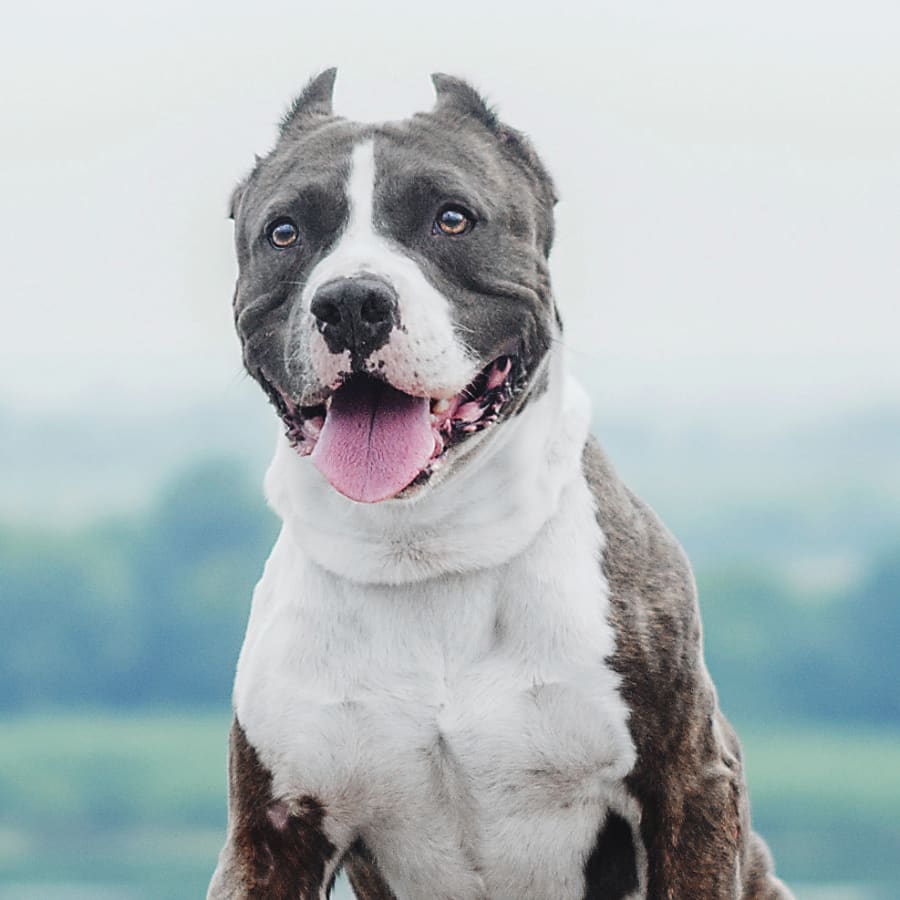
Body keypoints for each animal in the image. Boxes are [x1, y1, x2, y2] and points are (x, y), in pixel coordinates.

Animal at [207, 72, 792, 900]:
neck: (425, 544)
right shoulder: (273, 832)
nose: (352, 301)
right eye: (285, 232)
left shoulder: (689, 786)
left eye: (452, 218)